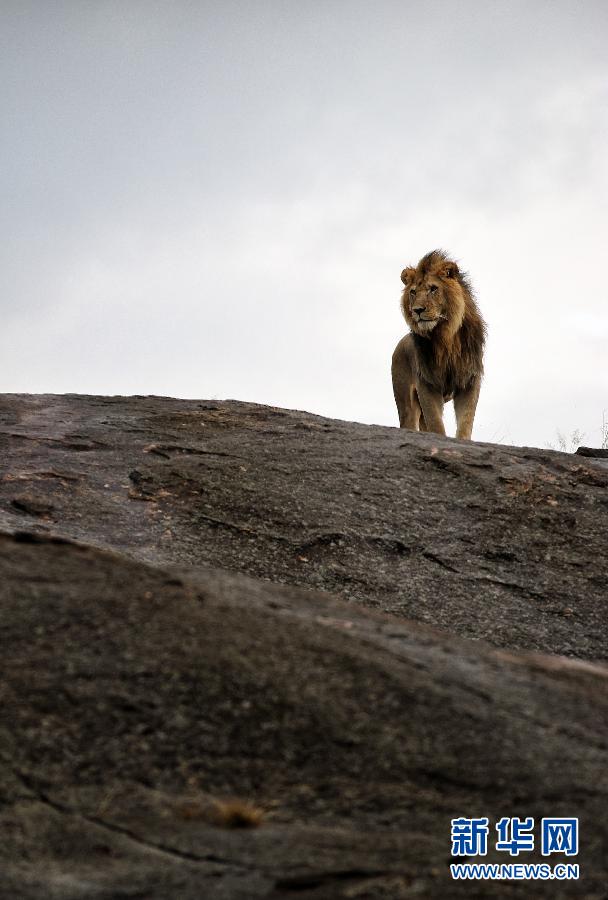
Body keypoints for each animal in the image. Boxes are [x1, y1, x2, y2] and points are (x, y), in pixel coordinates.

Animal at [392, 250, 486, 440]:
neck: (446, 337)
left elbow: (466, 422)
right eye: (413, 292)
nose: (417, 310)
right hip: (406, 403)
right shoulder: (427, 382)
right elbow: (436, 424)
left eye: (433, 288)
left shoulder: (470, 380)